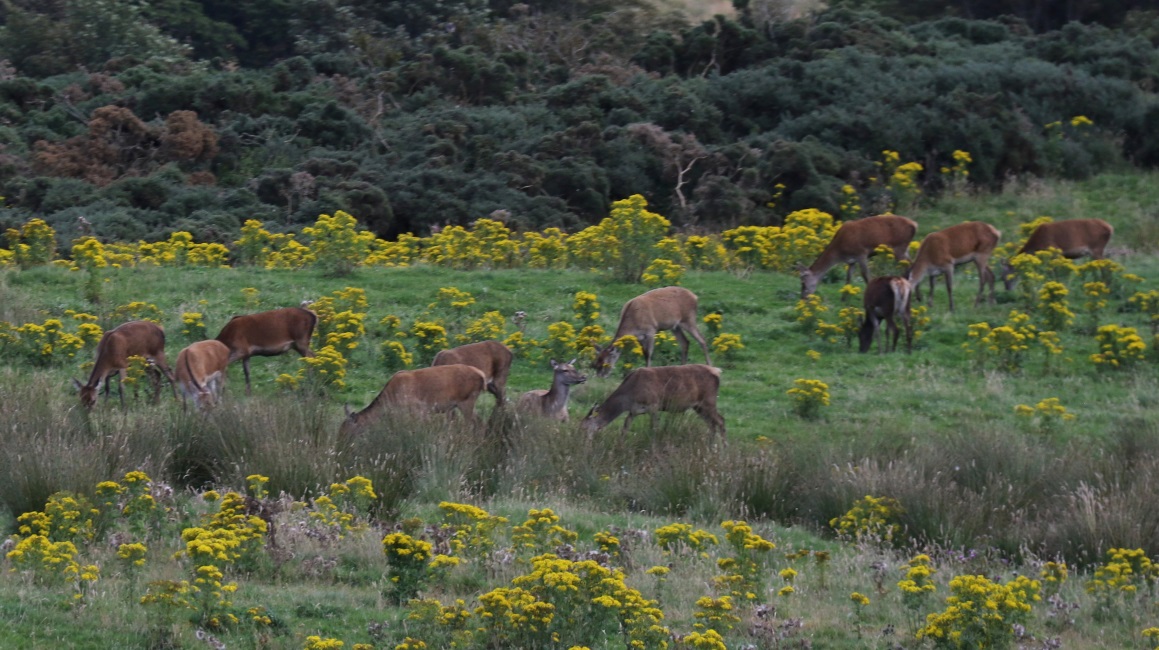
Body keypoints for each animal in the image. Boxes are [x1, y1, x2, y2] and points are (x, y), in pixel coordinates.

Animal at [339, 364, 488, 437]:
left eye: (348, 432)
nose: (340, 446)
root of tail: (482, 376)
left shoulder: (419, 410)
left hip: (467, 399)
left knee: (470, 425)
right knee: (480, 422)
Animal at [581, 364, 725, 444]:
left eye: (585, 427)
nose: (581, 442)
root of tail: (717, 371)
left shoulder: (654, 404)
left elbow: (654, 428)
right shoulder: (633, 411)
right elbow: (625, 427)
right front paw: (620, 445)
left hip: (709, 400)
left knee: (720, 420)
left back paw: (723, 448)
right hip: (698, 406)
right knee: (711, 424)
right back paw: (710, 446)